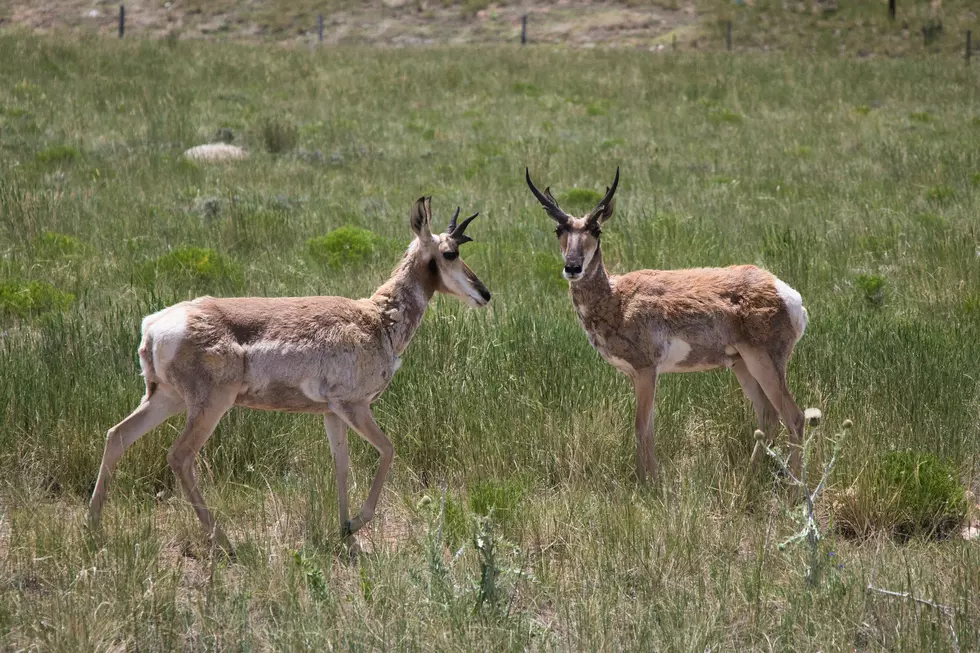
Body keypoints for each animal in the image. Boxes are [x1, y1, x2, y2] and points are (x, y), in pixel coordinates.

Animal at [87, 196, 490, 552]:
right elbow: (389, 449)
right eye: (450, 253)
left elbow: (342, 466)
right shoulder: (355, 406)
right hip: (209, 407)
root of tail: (154, 325)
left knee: (117, 436)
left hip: (165, 399)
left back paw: (94, 527)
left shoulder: (332, 413)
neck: (375, 318)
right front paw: (357, 523)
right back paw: (225, 542)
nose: (484, 293)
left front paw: (346, 533)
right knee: (180, 456)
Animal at [528, 168, 812, 484]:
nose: (573, 267)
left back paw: (795, 488)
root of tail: (785, 292)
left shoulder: (646, 370)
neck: (617, 298)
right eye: (559, 230)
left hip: (764, 363)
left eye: (596, 230)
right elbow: (647, 428)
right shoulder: (637, 375)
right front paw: (647, 479)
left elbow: (640, 427)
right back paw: (747, 483)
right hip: (742, 365)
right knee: (768, 417)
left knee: (794, 417)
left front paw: (648, 484)